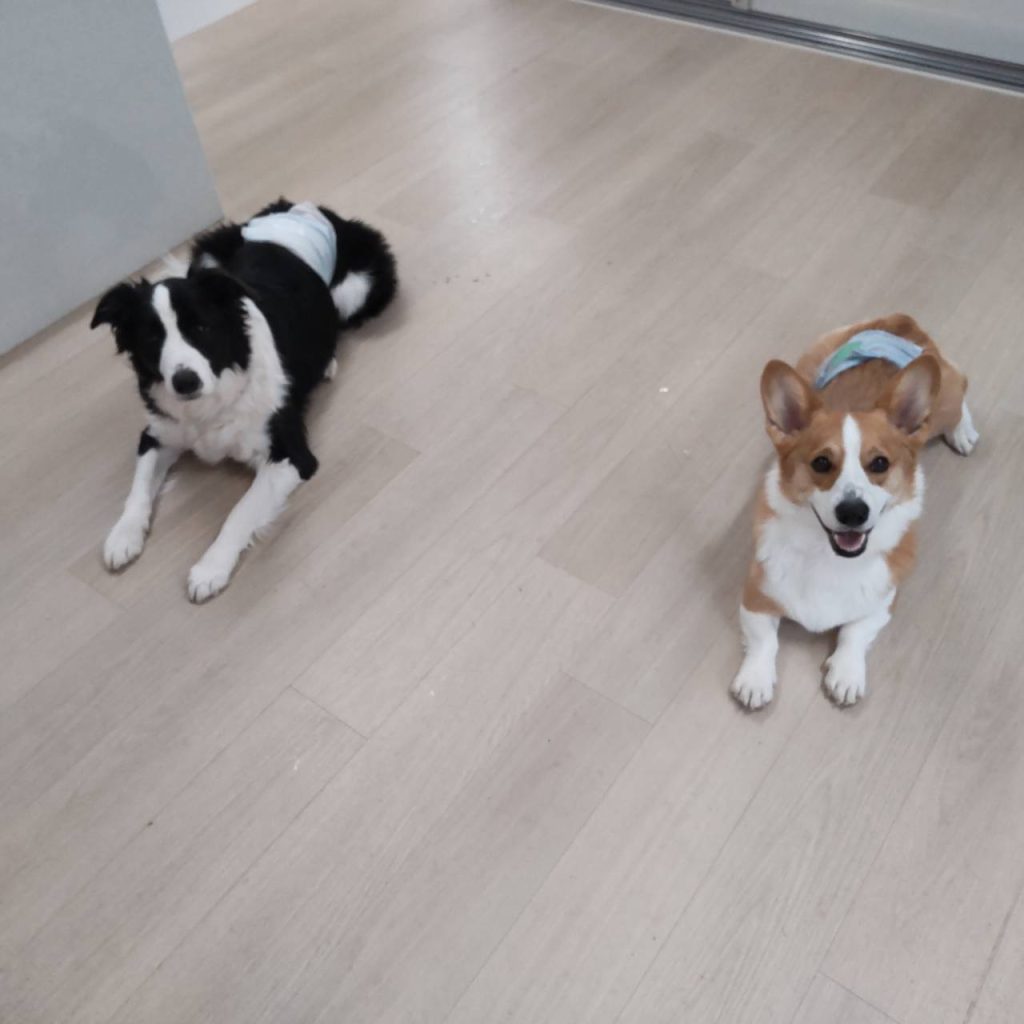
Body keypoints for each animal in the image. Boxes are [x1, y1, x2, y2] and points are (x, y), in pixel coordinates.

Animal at [90, 198, 397, 602]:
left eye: (201, 327)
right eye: (152, 339)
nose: (184, 382)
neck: (209, 402)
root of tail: (301, 209)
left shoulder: (291, 455)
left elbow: (240, 511)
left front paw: (210, 569)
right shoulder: (157, 433)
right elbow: (138, 489)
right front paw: (123, 536)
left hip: (360, 284)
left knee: (339, 318)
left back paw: (328, 362)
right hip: (207, 252)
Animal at [731, 313, 978, 709]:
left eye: (879, 463)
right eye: (821, 462)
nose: (853, 513)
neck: (828, 558)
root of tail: (900, 322)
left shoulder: (883, 603)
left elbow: (854, 634)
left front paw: (847, 674)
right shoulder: (756, 595)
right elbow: (763, 640)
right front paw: (755, 679)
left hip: (945, 404)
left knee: (961, 392)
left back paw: (963, 432)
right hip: (808, 363)